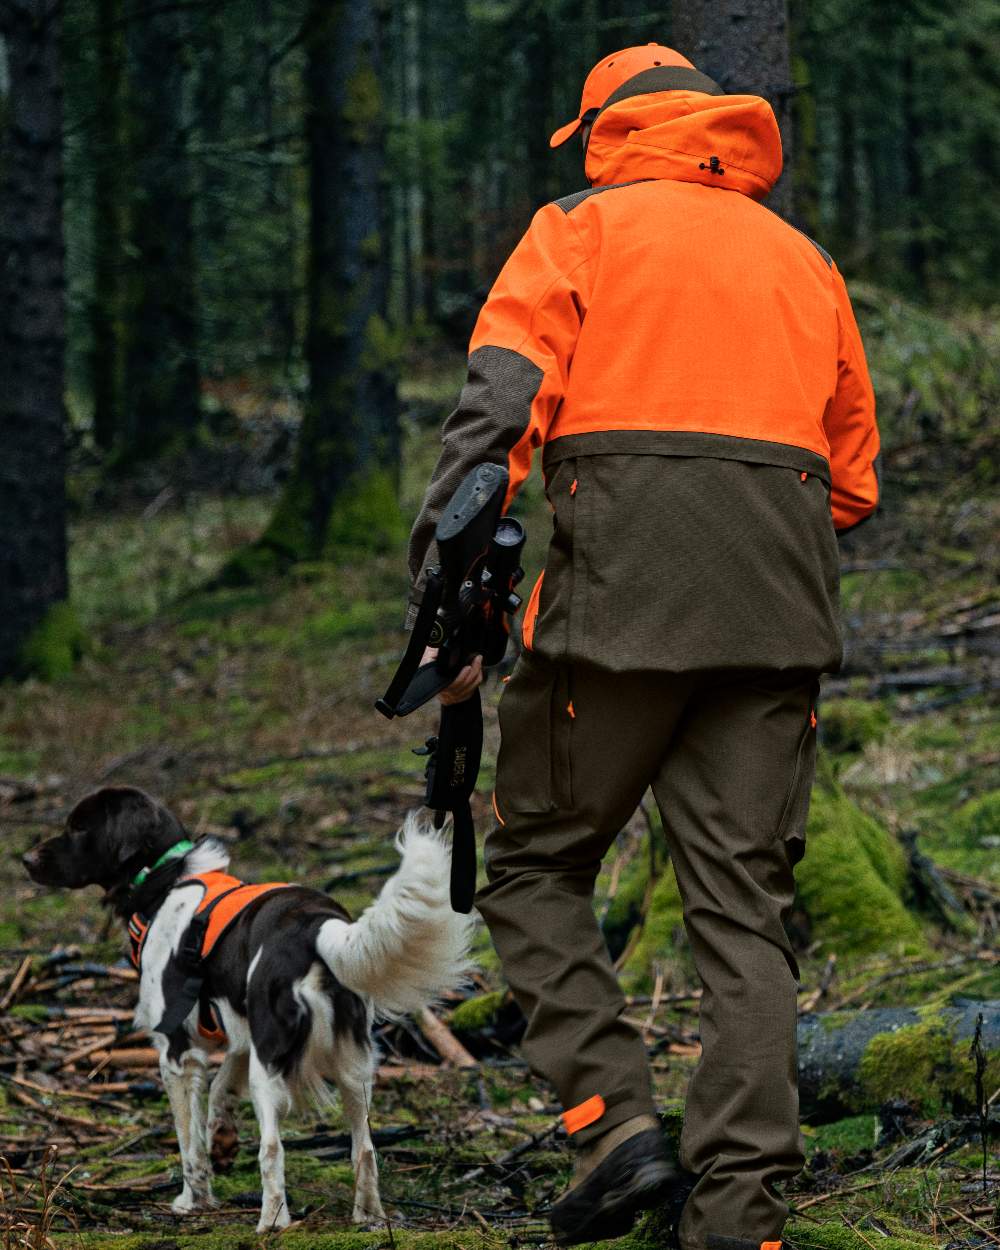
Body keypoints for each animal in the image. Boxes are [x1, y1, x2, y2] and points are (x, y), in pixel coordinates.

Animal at [21, 785, 475, 1235]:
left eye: (79, 827)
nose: (26, 859)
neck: (165, 880)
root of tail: (318, 927)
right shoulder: (240, 1032)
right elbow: (221, 1090)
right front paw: (221, 1139)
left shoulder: (176, 1049)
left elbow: (188, 1141)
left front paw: (193, 1200)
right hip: (353, 1066)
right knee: (364, 1150)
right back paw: (370, 1217)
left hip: (271, 1068)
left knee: (272, 1149)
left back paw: (272, 1219)